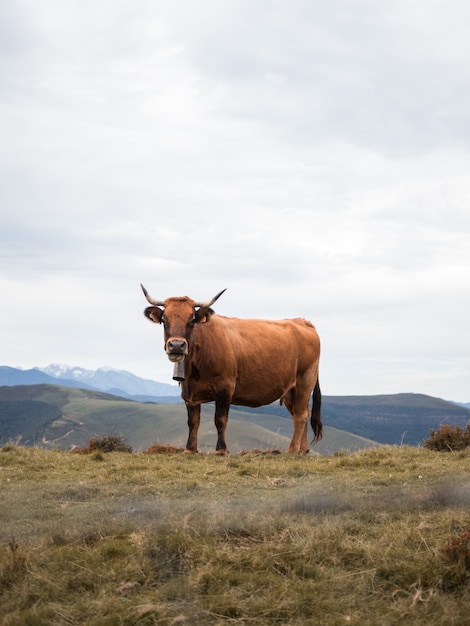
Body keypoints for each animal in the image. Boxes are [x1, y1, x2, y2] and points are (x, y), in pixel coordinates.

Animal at [141, 284, 322, 454]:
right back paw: (302, 450)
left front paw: (221, 450)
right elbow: (193, 421)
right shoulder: (189, 392)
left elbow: (220, 420)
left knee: (300, 416)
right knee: (302, 413)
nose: (177, 345)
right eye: (164, 320)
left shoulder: (225, 387)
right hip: (291, 390)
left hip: (304, 383)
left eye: (192, 319)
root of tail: (301, 321)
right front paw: (190, 449)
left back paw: (292, 450)